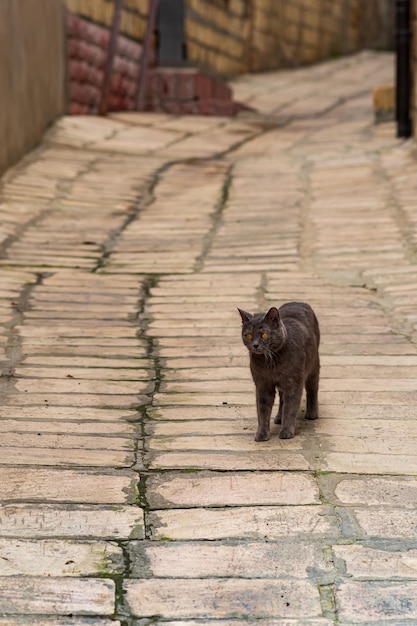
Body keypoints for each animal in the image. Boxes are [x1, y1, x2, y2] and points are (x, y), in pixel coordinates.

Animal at [237, 302, 318, 438]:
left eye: (264, 335)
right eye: (248, 335)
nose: (255, 345)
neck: (270, 363)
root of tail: (298, 302)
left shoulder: (294, 383)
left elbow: (290, 407)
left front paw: (286, 432)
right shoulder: (262, 384)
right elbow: (262, 410)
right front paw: (262, 434)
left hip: (313, 366)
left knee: (312, 389)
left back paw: (312, 414)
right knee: (281, 398)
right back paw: (279, 418)